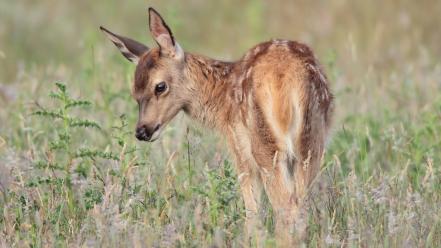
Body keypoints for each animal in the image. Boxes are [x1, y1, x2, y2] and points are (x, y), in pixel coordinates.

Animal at [101, 6, 332, 245]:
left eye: (160, 86)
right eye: (134, 93)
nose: (142, 131)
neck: (221, 97)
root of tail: (286, 78)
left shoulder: (239, 147)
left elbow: (252, 212)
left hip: (265, 146)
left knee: (286, 206)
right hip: (311, 143)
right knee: (300, 206)